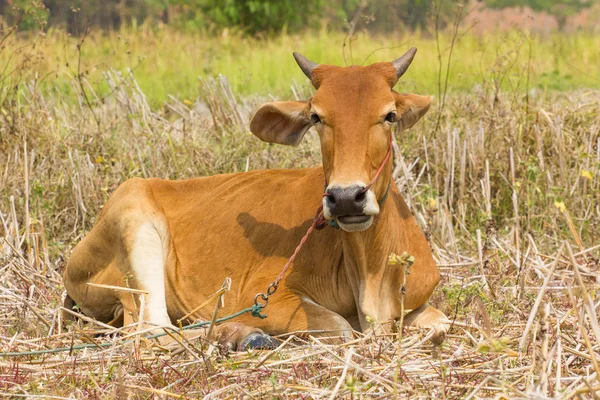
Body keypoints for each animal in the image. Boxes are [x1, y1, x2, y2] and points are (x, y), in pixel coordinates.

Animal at [64, 49, 450, 350]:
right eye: (316, 117)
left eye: (390, 115)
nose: (346, 198)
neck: (370, 271)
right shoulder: (266, 297)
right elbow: (341, 327)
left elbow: (441, 325)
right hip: (135, 223)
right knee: (153, 329)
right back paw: (240, 334)